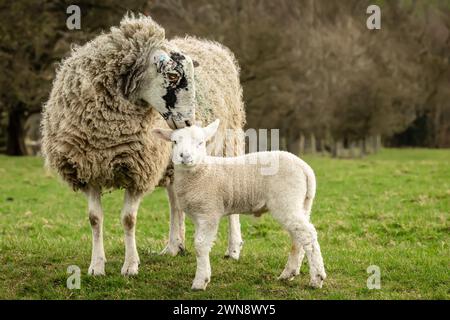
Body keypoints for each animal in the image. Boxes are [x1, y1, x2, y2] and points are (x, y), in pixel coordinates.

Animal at [41, 13, 246, 276]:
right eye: (173, 76)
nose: (190, 123)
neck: (107, 133)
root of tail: (209, 44)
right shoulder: (89, 169)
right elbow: (94, 219)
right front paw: (96, 266)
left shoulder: (138, 170)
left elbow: (128, 219)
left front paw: (130, 265)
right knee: (175, 201)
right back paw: (174, 246)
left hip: (230, 144)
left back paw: (233, 249)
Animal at [153, 119, 326, 290]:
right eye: (174, 142)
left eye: (201, 142)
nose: (185, 156)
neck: (202, 171)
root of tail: (305, 168)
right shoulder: (198, 215)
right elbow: (199, 243)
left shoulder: (209, 212)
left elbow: (201, 245)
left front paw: (200, 281)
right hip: (301, 204)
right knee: (299, 237)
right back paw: (289, 273)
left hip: (286, 200)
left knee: (308, 234)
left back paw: (317, 279)